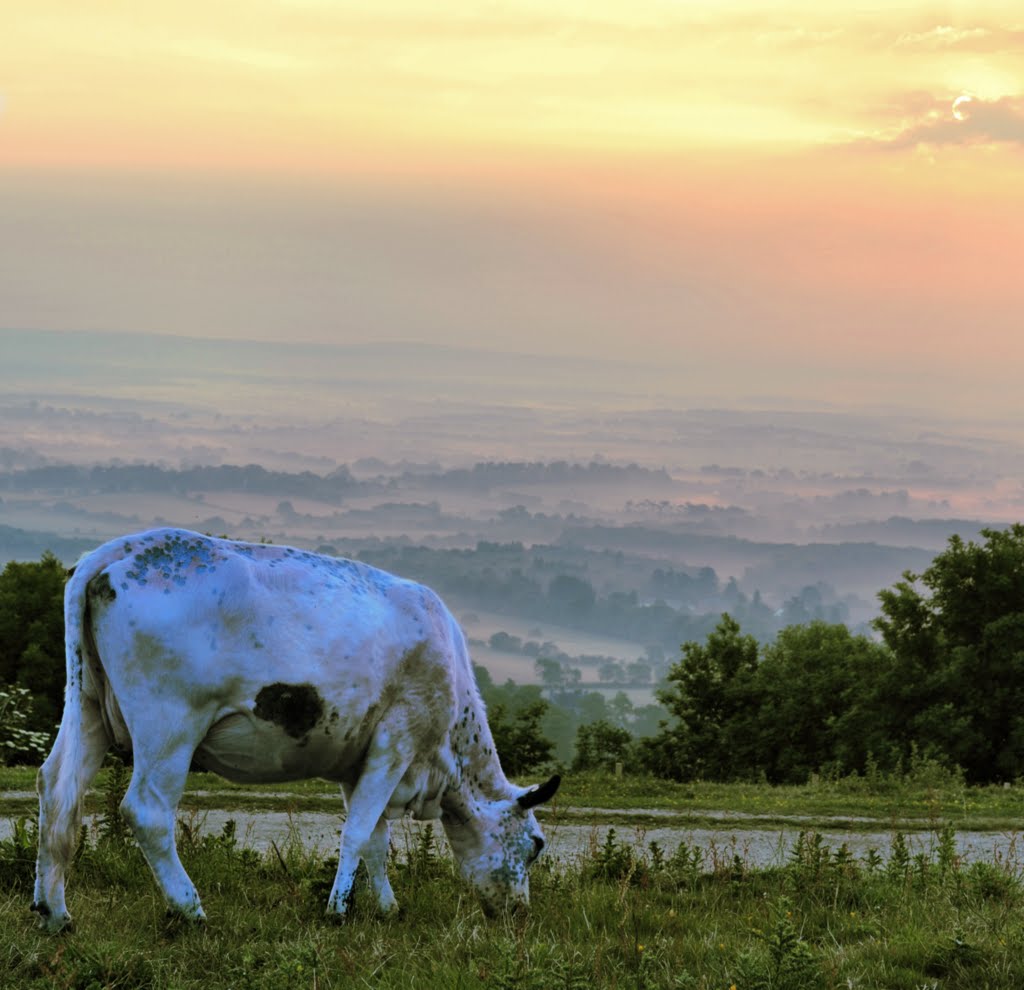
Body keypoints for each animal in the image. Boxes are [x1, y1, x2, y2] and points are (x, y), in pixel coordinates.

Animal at [34, 532, 561, 933]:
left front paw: (386, 907)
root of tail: (118, 549)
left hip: (88, 708)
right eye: (536, 844)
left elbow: (376, 839)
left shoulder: (358, 761)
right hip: (169, 726)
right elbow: (357, 833)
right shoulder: (397, 741)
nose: (519, 912)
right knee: (146, 811)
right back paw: (191, 910)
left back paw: (54, 912)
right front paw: (337, 911)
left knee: (57, 789)